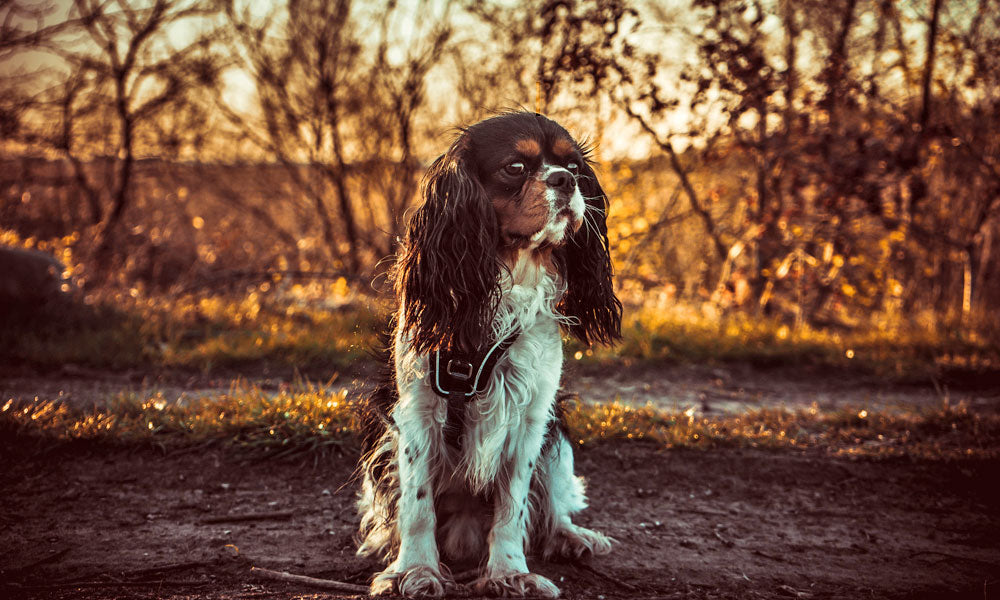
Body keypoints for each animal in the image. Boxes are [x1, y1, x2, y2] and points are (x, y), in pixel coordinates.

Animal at [356, 111, 620, 596]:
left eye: (574, 167)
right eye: (515, 167)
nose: (565, 180)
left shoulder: (532, 417)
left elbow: (512, 507)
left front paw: (510, 573)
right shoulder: (416, 413)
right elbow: (417, 505)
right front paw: (414, 571)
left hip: (558, 436)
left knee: (552, 503)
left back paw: (571, 536)